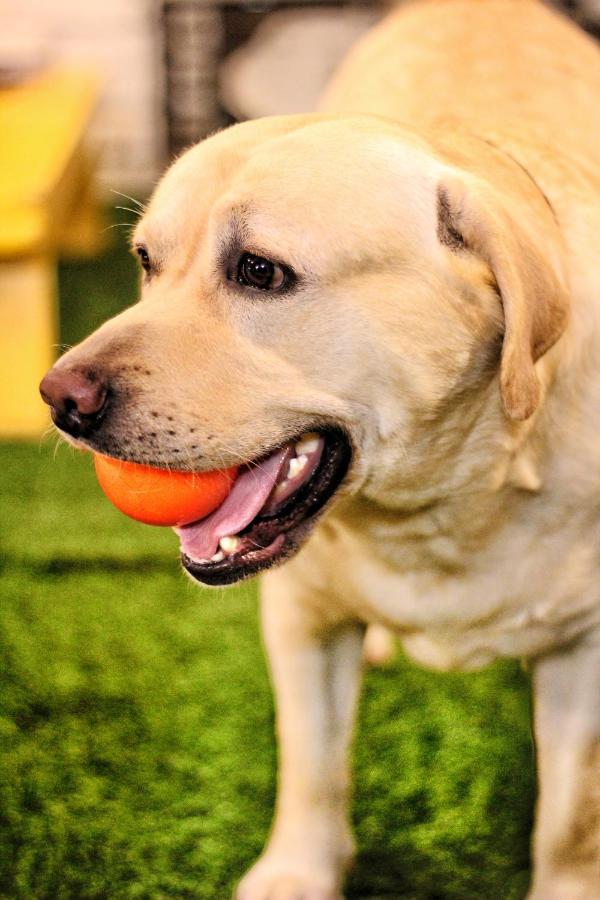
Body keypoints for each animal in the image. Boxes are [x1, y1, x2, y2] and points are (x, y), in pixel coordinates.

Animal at [39, 0, 596, 896]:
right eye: (146, 263)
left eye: (260, 272)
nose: (58, 399)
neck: (440, 502)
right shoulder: (299, 617)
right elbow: (311, 765)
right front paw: (297, 871)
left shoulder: (583, 653)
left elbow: (571, 820)